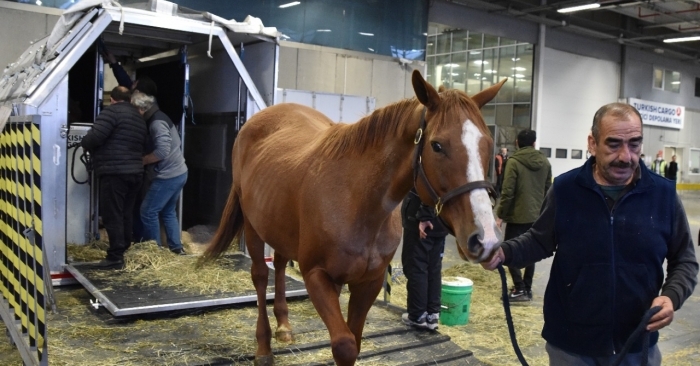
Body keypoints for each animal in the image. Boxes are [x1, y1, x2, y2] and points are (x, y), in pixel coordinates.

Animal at [202, 70, 504, 364]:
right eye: (437, 145)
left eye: (488, 144)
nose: (485, 238)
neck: (357, 201)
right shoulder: (316, 276)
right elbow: (344, 345)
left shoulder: (368, 283)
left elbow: (354, 341)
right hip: (253, 227)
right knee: (261, 276)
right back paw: (263, 348)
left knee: (278, 264)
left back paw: (284, 326)